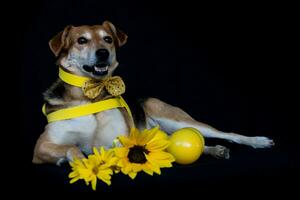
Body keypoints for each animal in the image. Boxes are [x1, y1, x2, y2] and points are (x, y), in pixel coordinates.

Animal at [32, 20, 274, 166]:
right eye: (81, 40)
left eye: (107, 39)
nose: (103, 53)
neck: (89, 96)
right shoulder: (40, 147)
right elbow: (71, 146)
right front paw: (76, 159)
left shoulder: (119, 139)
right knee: (174, 144)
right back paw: (214, 151)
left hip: (175, 118)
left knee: (225, 134)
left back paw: (257, 141)